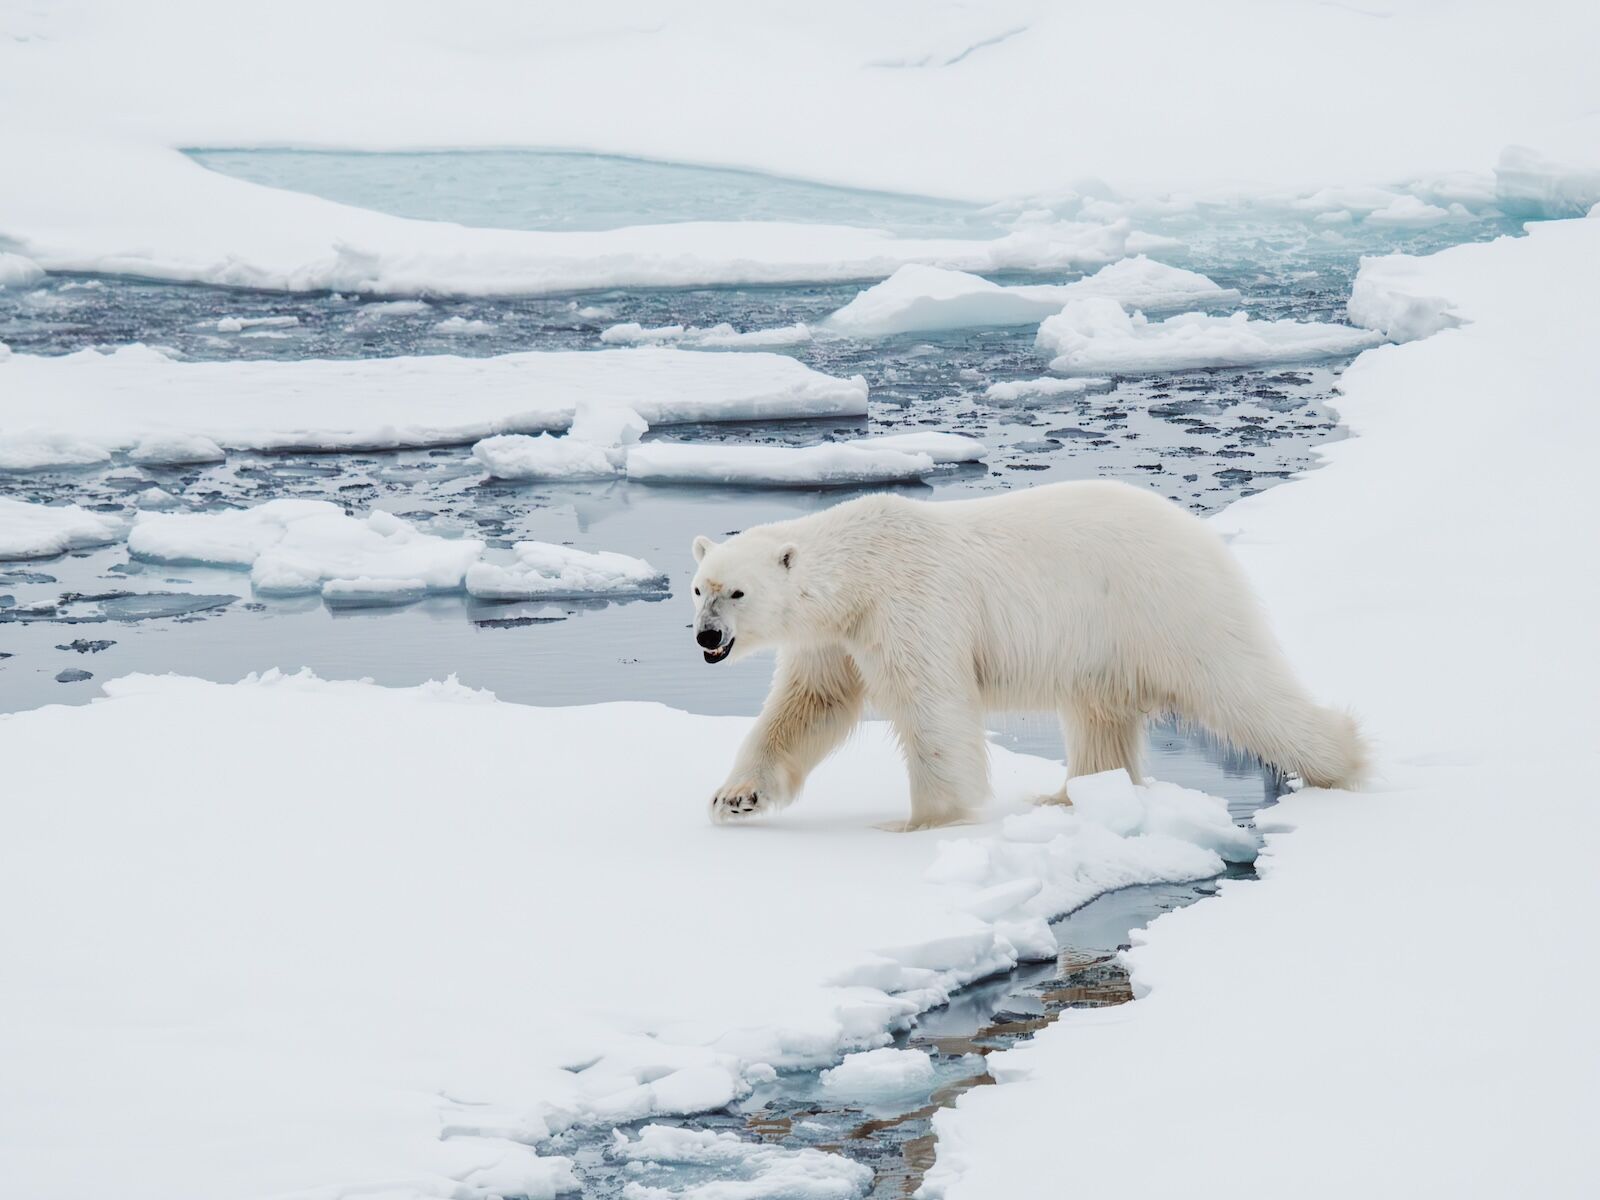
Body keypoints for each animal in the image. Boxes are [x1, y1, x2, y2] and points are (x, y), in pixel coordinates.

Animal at [689, 479, 1366, 831]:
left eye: (738, 591)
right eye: (699, 588)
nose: (705, 638)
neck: (863, 570)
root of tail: (1201, 534)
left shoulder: (913, 606)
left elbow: (933, 707)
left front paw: (925, 821)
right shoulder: (836, 637)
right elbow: (809, 706)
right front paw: (734, 798)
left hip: (1164, 608)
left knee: (1239, 687)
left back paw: (1343, 764)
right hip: (1104, 642)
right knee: (1099, 717)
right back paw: (1068, 796)